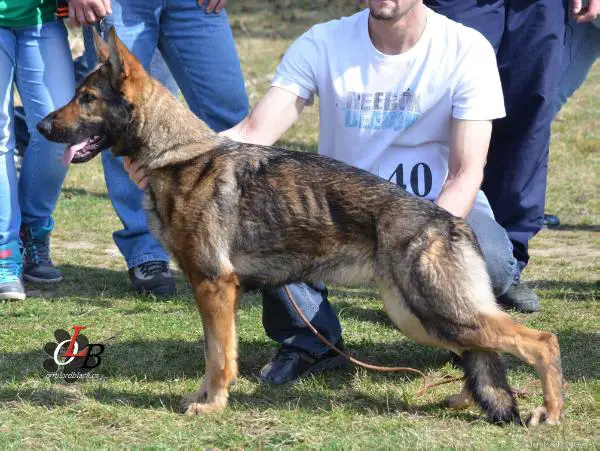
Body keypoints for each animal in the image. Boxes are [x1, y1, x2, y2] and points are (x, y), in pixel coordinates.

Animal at [37, 28, 564, 426]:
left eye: (86, 99)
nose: (40, 128)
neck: (178, 155)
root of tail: (451, 222)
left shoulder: (214, 286)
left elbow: (219, 356)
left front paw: (213, 404)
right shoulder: (210, 290)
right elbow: (214, 353)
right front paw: (204, 399)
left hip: (435, 310)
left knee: (539, 341)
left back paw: (550, 411)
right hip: (417, 315)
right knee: (481, 349)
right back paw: (463, 399)